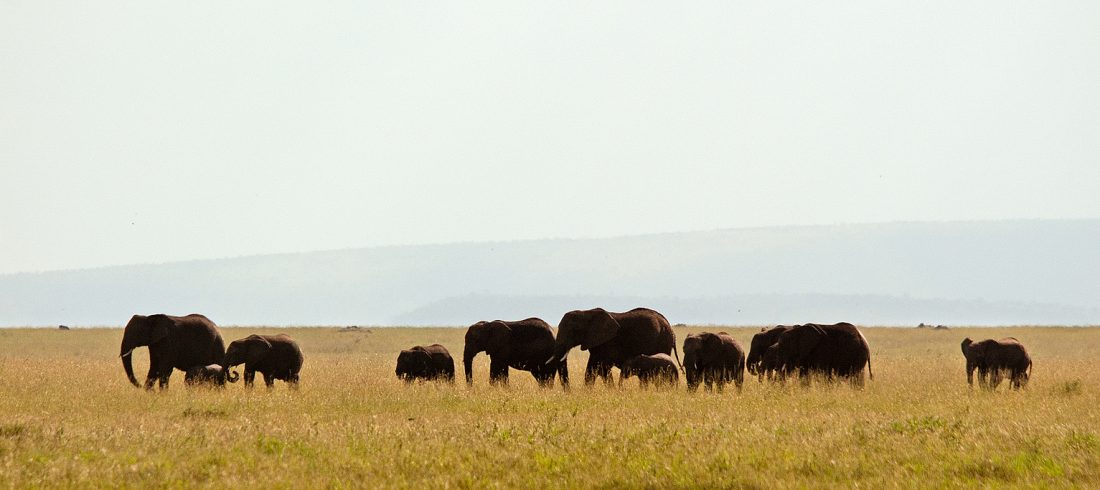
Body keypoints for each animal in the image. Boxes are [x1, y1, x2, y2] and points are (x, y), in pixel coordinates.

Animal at [545, 308, 673, 387]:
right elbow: (591, 369)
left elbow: (603, 368)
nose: (569, 392)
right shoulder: (596, 343)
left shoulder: (607, 342)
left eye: (573, 331)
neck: (586, 312)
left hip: (663, 341)